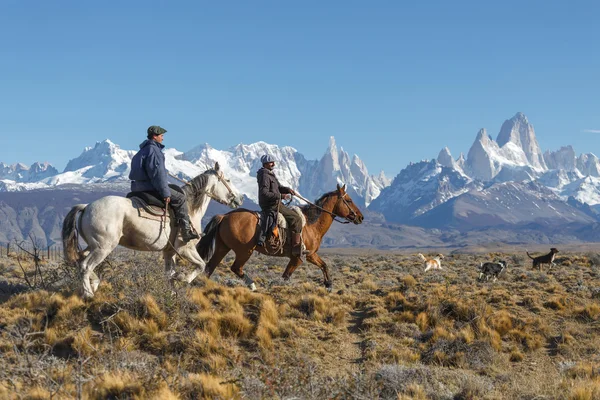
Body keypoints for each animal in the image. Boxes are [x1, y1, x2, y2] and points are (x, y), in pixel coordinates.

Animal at [63, 162, 244, 296]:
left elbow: (169, 275)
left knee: (80, 261)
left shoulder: (169, 252)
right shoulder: (185, 249)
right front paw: (183, 278)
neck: (191, 208)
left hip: (93, 246)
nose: (240, 199)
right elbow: (201, 265)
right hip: (103, 248)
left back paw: (94, 284)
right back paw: (88, 294)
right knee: (85, 266)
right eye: (228, 179)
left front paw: (172, 294)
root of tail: (86, 206)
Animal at [199, 184, 364, 290]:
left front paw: (329, 285)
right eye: (349, 200)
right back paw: (252, 285)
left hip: (223, 248)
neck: (311, 224)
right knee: (235, 268)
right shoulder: (297, 258)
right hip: (244, 251)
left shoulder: (310, 255)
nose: (361, 217)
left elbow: (324, 265)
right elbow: (285, 276)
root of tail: (224, 216)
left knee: (210, 268)